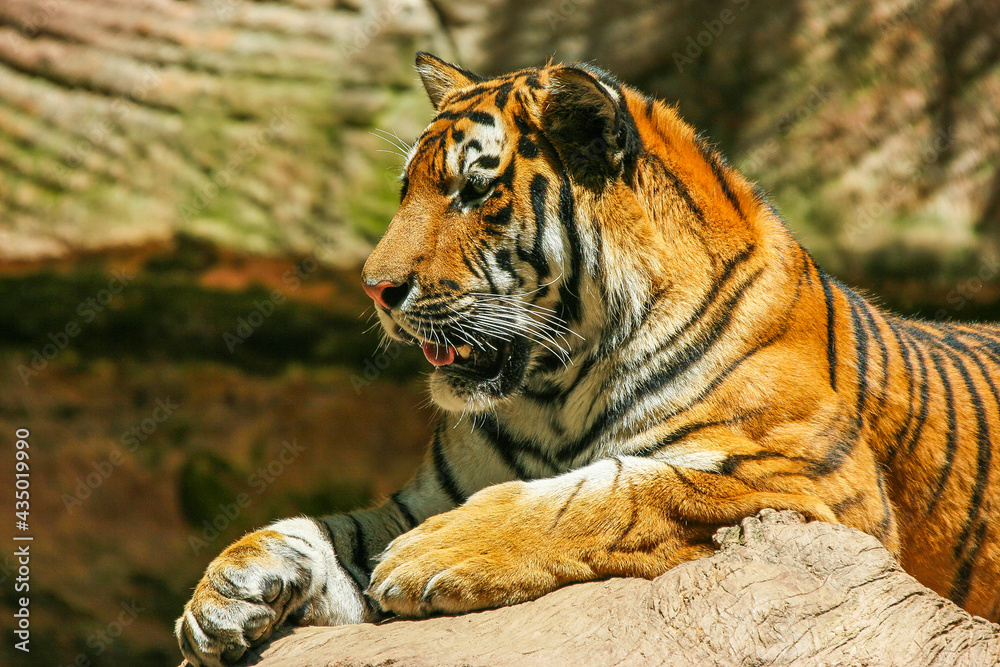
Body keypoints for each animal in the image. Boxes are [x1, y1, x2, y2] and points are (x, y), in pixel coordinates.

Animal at [176, 52, 1000, 665]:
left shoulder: (814, 481)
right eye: (406, 189)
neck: (554, 387)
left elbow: (611, 489)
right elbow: (327, 529)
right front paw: (224, 593)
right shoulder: (419, 497)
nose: (376, 288)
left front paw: (437, 551)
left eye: (474, 191)